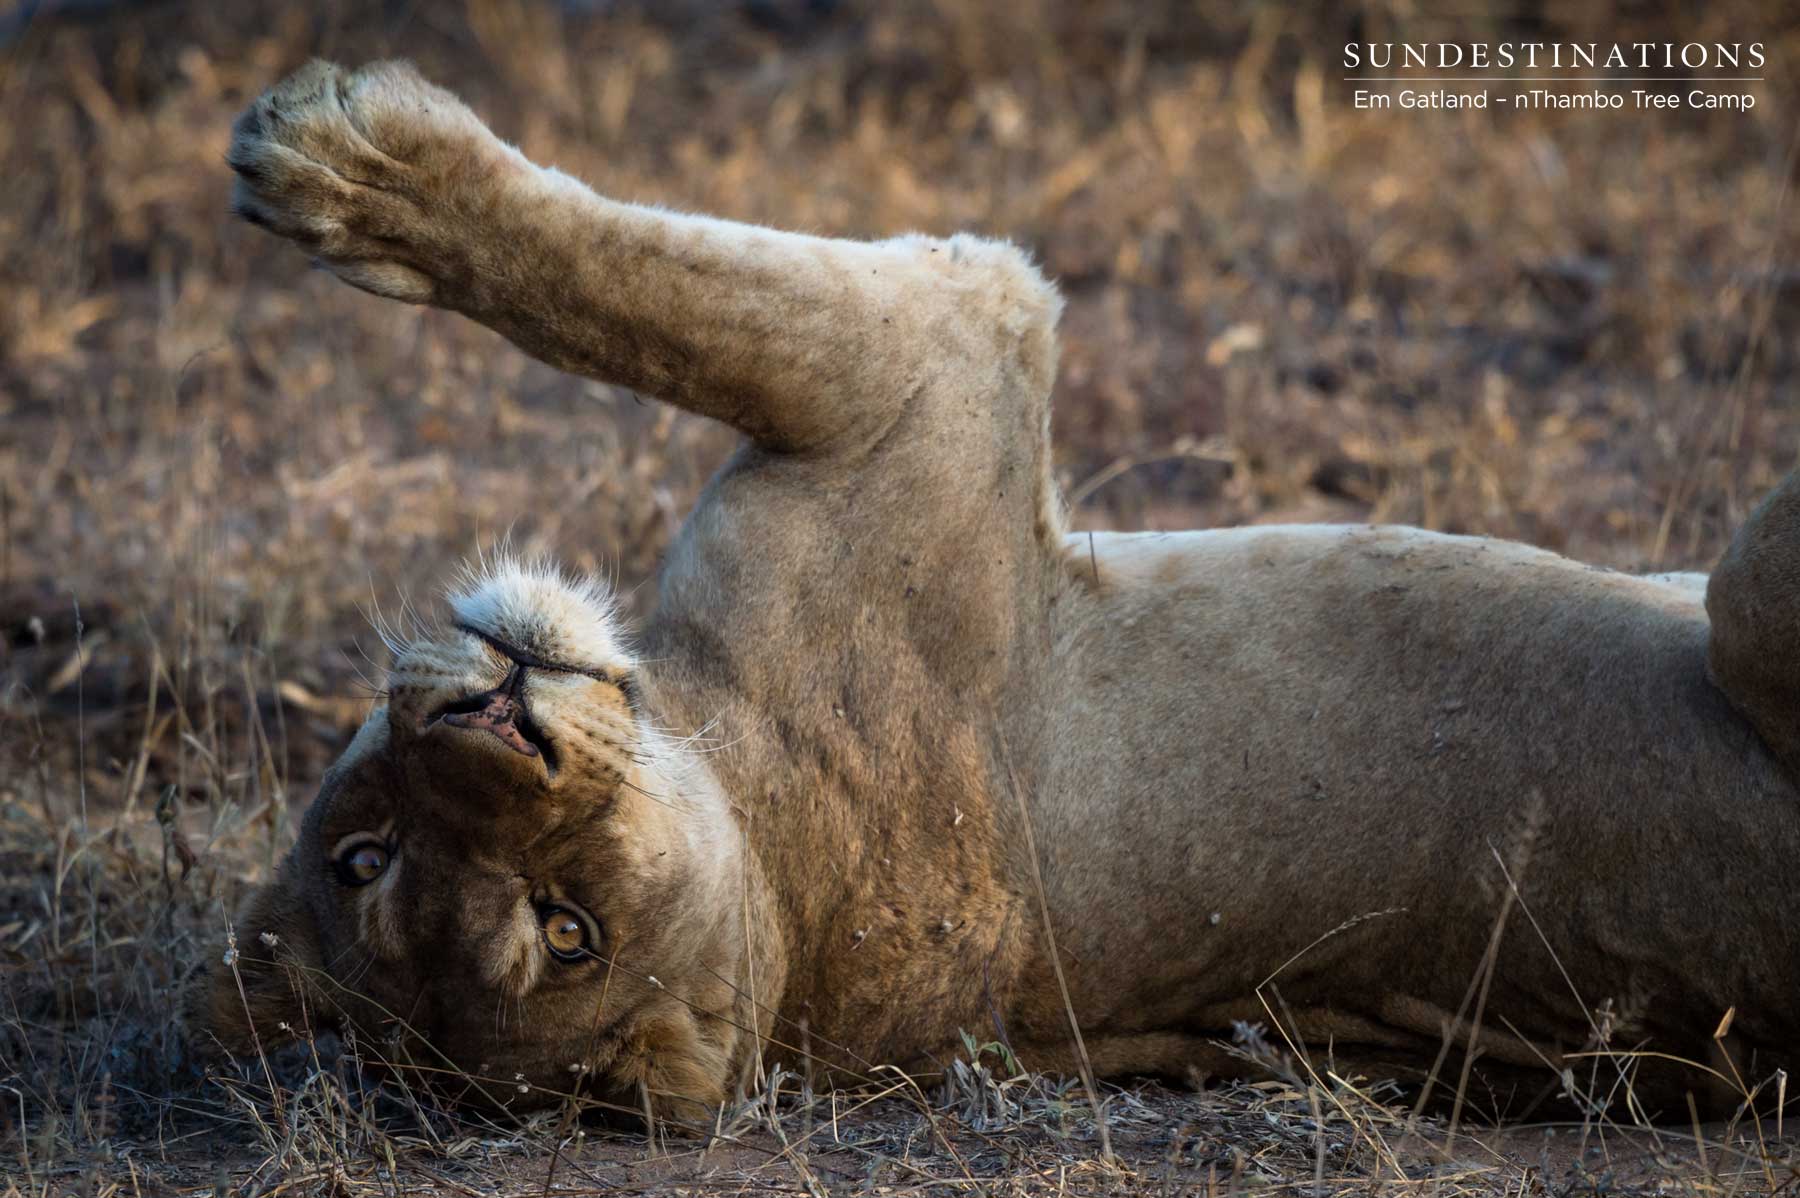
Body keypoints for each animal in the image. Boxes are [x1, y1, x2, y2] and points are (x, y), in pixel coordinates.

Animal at [199, 59, 1800, 1123]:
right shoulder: (940, 350)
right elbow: (630, 287)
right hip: (1744, 596)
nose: (492, 721)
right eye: (563, 928)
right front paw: (346, 160)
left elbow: (630, 291)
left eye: (361, 852)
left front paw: (333, 162)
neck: (780, 868)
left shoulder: (928, 353)